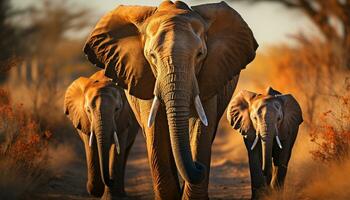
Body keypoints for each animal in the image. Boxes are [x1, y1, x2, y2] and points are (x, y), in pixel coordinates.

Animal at [64, 70, 139, 198]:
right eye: (88, 110)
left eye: (117, 109)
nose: (111, 180)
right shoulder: (85, 121)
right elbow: (91, 148)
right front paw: (96, 191)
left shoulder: (124, 118)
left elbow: (117, 149)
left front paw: (110, 196)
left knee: (126, 151)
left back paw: (122, 193)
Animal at [83, 1, 258, 198]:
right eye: (151, 56)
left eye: (200, 54)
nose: (200, 167)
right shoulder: (146, 78)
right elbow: (156, 130)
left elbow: (200, 129)